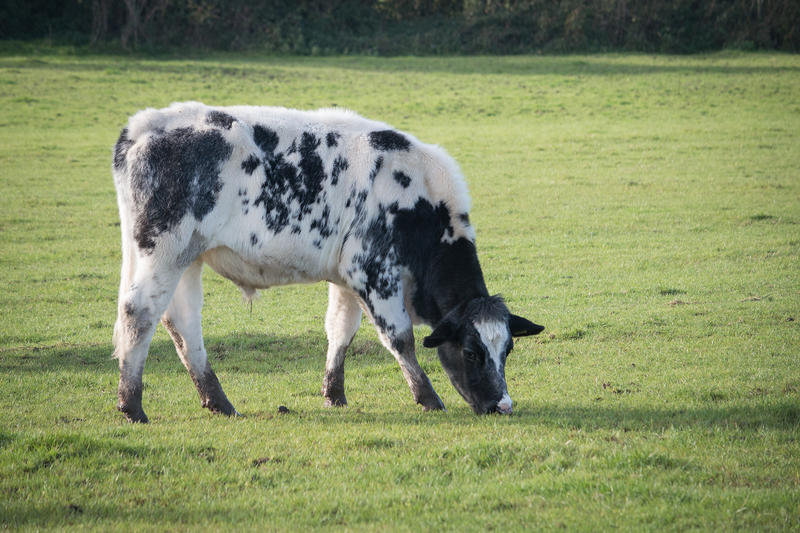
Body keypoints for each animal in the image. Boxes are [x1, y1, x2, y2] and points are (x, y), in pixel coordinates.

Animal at [111, 102, 544, 422]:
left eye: (507, 350)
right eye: (471, 352)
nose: (502, 406)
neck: (420, 203)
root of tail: (145, 126)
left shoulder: (347, 277)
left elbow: (340, 331)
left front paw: (334, 394)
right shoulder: (373, 271)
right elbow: (399, 337)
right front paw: (427, 397)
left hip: (188, 257)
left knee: (183, 322)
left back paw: (218, 401)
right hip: (164, 249)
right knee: (139, 313)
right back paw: (132, 407)